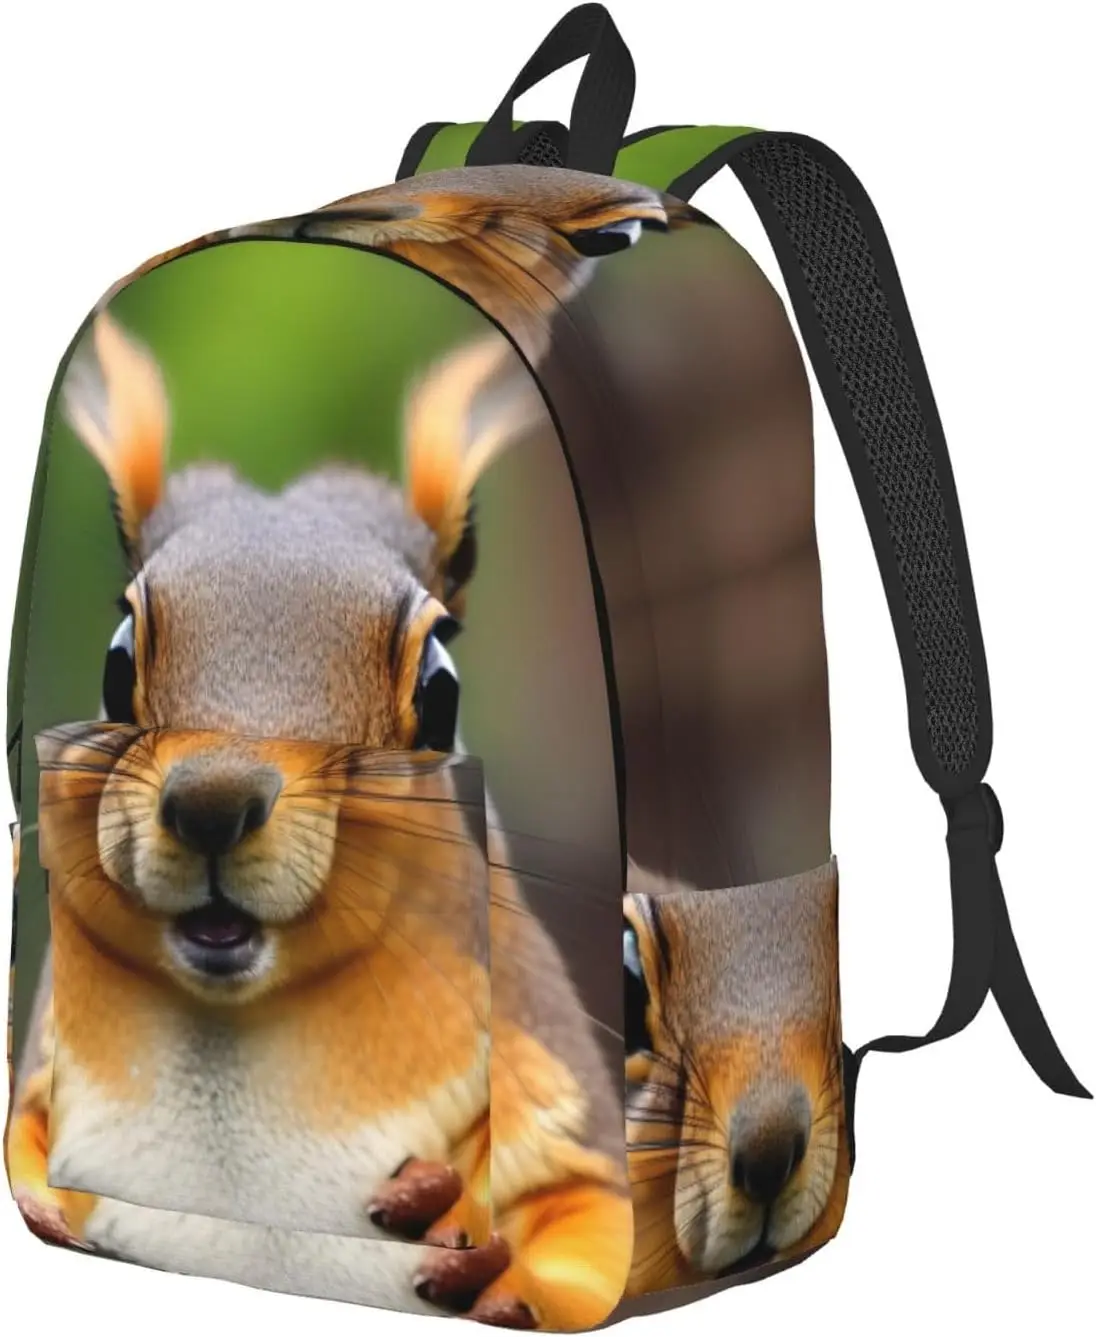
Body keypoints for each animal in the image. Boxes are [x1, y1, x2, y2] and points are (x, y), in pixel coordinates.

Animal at [5, 308, 631, 1330]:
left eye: (441, 689)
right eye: (116, 659)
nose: (213, 801)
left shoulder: (548, 1062)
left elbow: (593, 1217)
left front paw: (477, 1236)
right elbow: (21, 1133)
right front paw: (37, 1199)